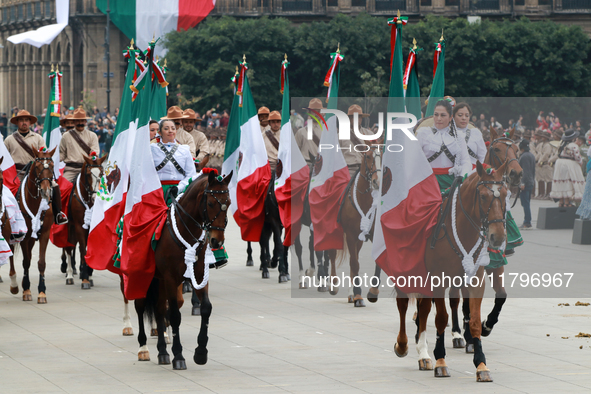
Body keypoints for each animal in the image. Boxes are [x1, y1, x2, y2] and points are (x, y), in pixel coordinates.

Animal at [8, 146, 57, 304]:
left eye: (52, 165)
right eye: (37, 166)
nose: (46, 190)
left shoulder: (45, 233)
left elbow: (41, 262)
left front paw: (42, 292)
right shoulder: (25, 235)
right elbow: (26, 261)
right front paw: (27, 290)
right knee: (11, 254)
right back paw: (14, 285)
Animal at [135, 170, 232, 370]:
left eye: (229, 203)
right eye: (210, 203)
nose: (216, 241)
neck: (186, 231)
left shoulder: (199, 275)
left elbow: (206, 308)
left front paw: (201, 352)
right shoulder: (171, 278)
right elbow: (174, 316)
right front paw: (179, 356)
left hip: (159, 280)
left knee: (158, 309)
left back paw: (162, 352)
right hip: (140, 276)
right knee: (140, 307)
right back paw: (143, 348)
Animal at [396, 160, 512, 382]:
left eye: (504, 194)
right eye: (482, 196)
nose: (498, 237)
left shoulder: (475, 279)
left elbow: (474, 318)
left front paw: (481, 364)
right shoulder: (439, 280)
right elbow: (441, 318)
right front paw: (441, 361)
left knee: (424, 309)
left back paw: (423, 352)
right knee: (404, 305)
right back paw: (404, 345)